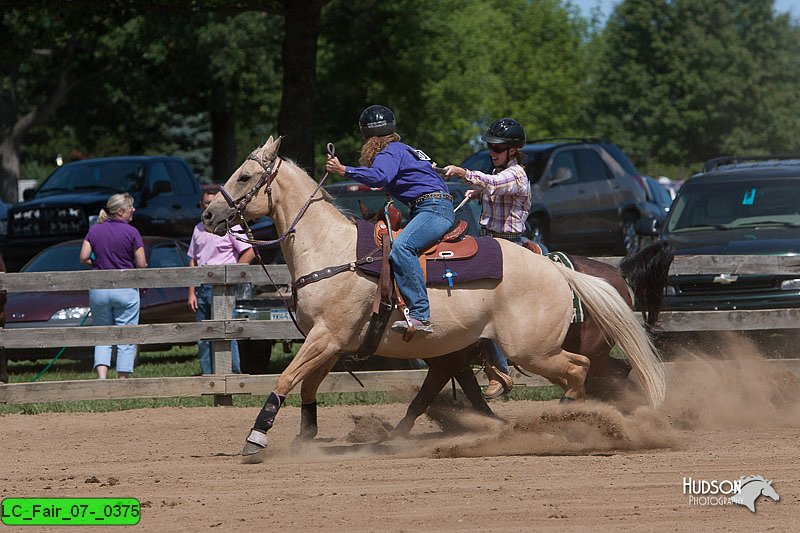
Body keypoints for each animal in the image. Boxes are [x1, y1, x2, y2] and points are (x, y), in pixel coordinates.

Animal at [203, 137, 664, 458]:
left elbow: (286, 378)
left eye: (244, 177)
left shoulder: (327, 336)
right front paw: (307, 437)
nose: (208, 214)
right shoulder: (333, 342)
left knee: (580, 370)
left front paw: (256, 438)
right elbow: (309, 385)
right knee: (594, 374)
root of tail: (557, 269)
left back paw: (571, 421)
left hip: (533, 350)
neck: (333, 251)